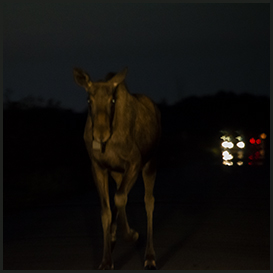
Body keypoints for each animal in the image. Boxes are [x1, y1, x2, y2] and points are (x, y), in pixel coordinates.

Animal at [73, 66, 160, 268]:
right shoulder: (98, 167)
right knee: (122, 196)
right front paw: (106, 259)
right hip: (119, 173)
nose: (100, 134)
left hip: (149, 163)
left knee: (148, 201)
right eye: (89, 100)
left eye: (112, 100)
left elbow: (120, 198)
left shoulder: (134, 162)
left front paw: (131, 235)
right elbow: (105, 211)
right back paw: (113, 238)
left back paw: (149, 256)